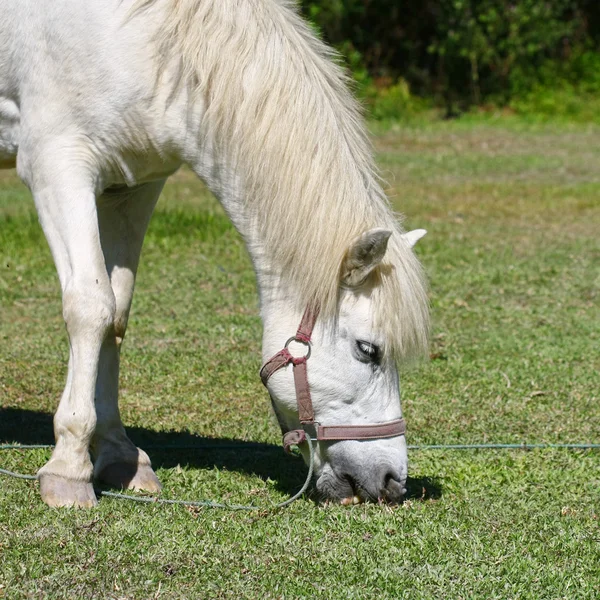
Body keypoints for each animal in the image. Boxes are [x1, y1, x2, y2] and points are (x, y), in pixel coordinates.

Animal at [1, 0, 432, 506]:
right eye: (368, 350)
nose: (392, 482)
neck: (151, 39)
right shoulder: (56, 166)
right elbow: (90, 308)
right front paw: (69, 468)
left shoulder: (131, 186)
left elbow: (116, 315)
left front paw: (119, 454)